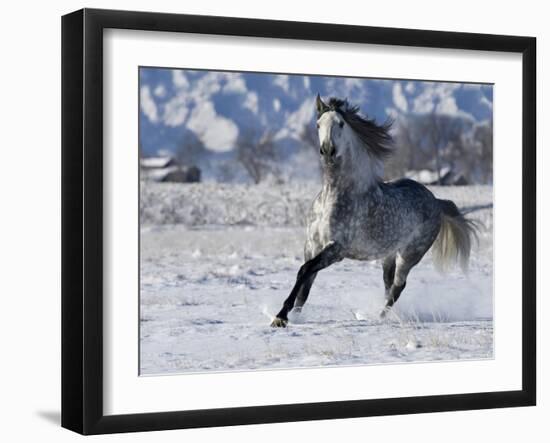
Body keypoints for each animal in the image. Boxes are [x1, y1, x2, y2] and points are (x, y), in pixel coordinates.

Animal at [272, 95, 478, 328]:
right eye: (318, 124)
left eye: (340, 124)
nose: (327, 151)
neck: (335, 196)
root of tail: (436, 202)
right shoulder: (311, 246)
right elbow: (305, 284)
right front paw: (293, 316)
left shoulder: (336, 249)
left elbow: (305, 270)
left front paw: (281, 316)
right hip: (388, 254)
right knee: (388, 285)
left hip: (410, 254)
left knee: (398, 287)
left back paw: (379, 317)